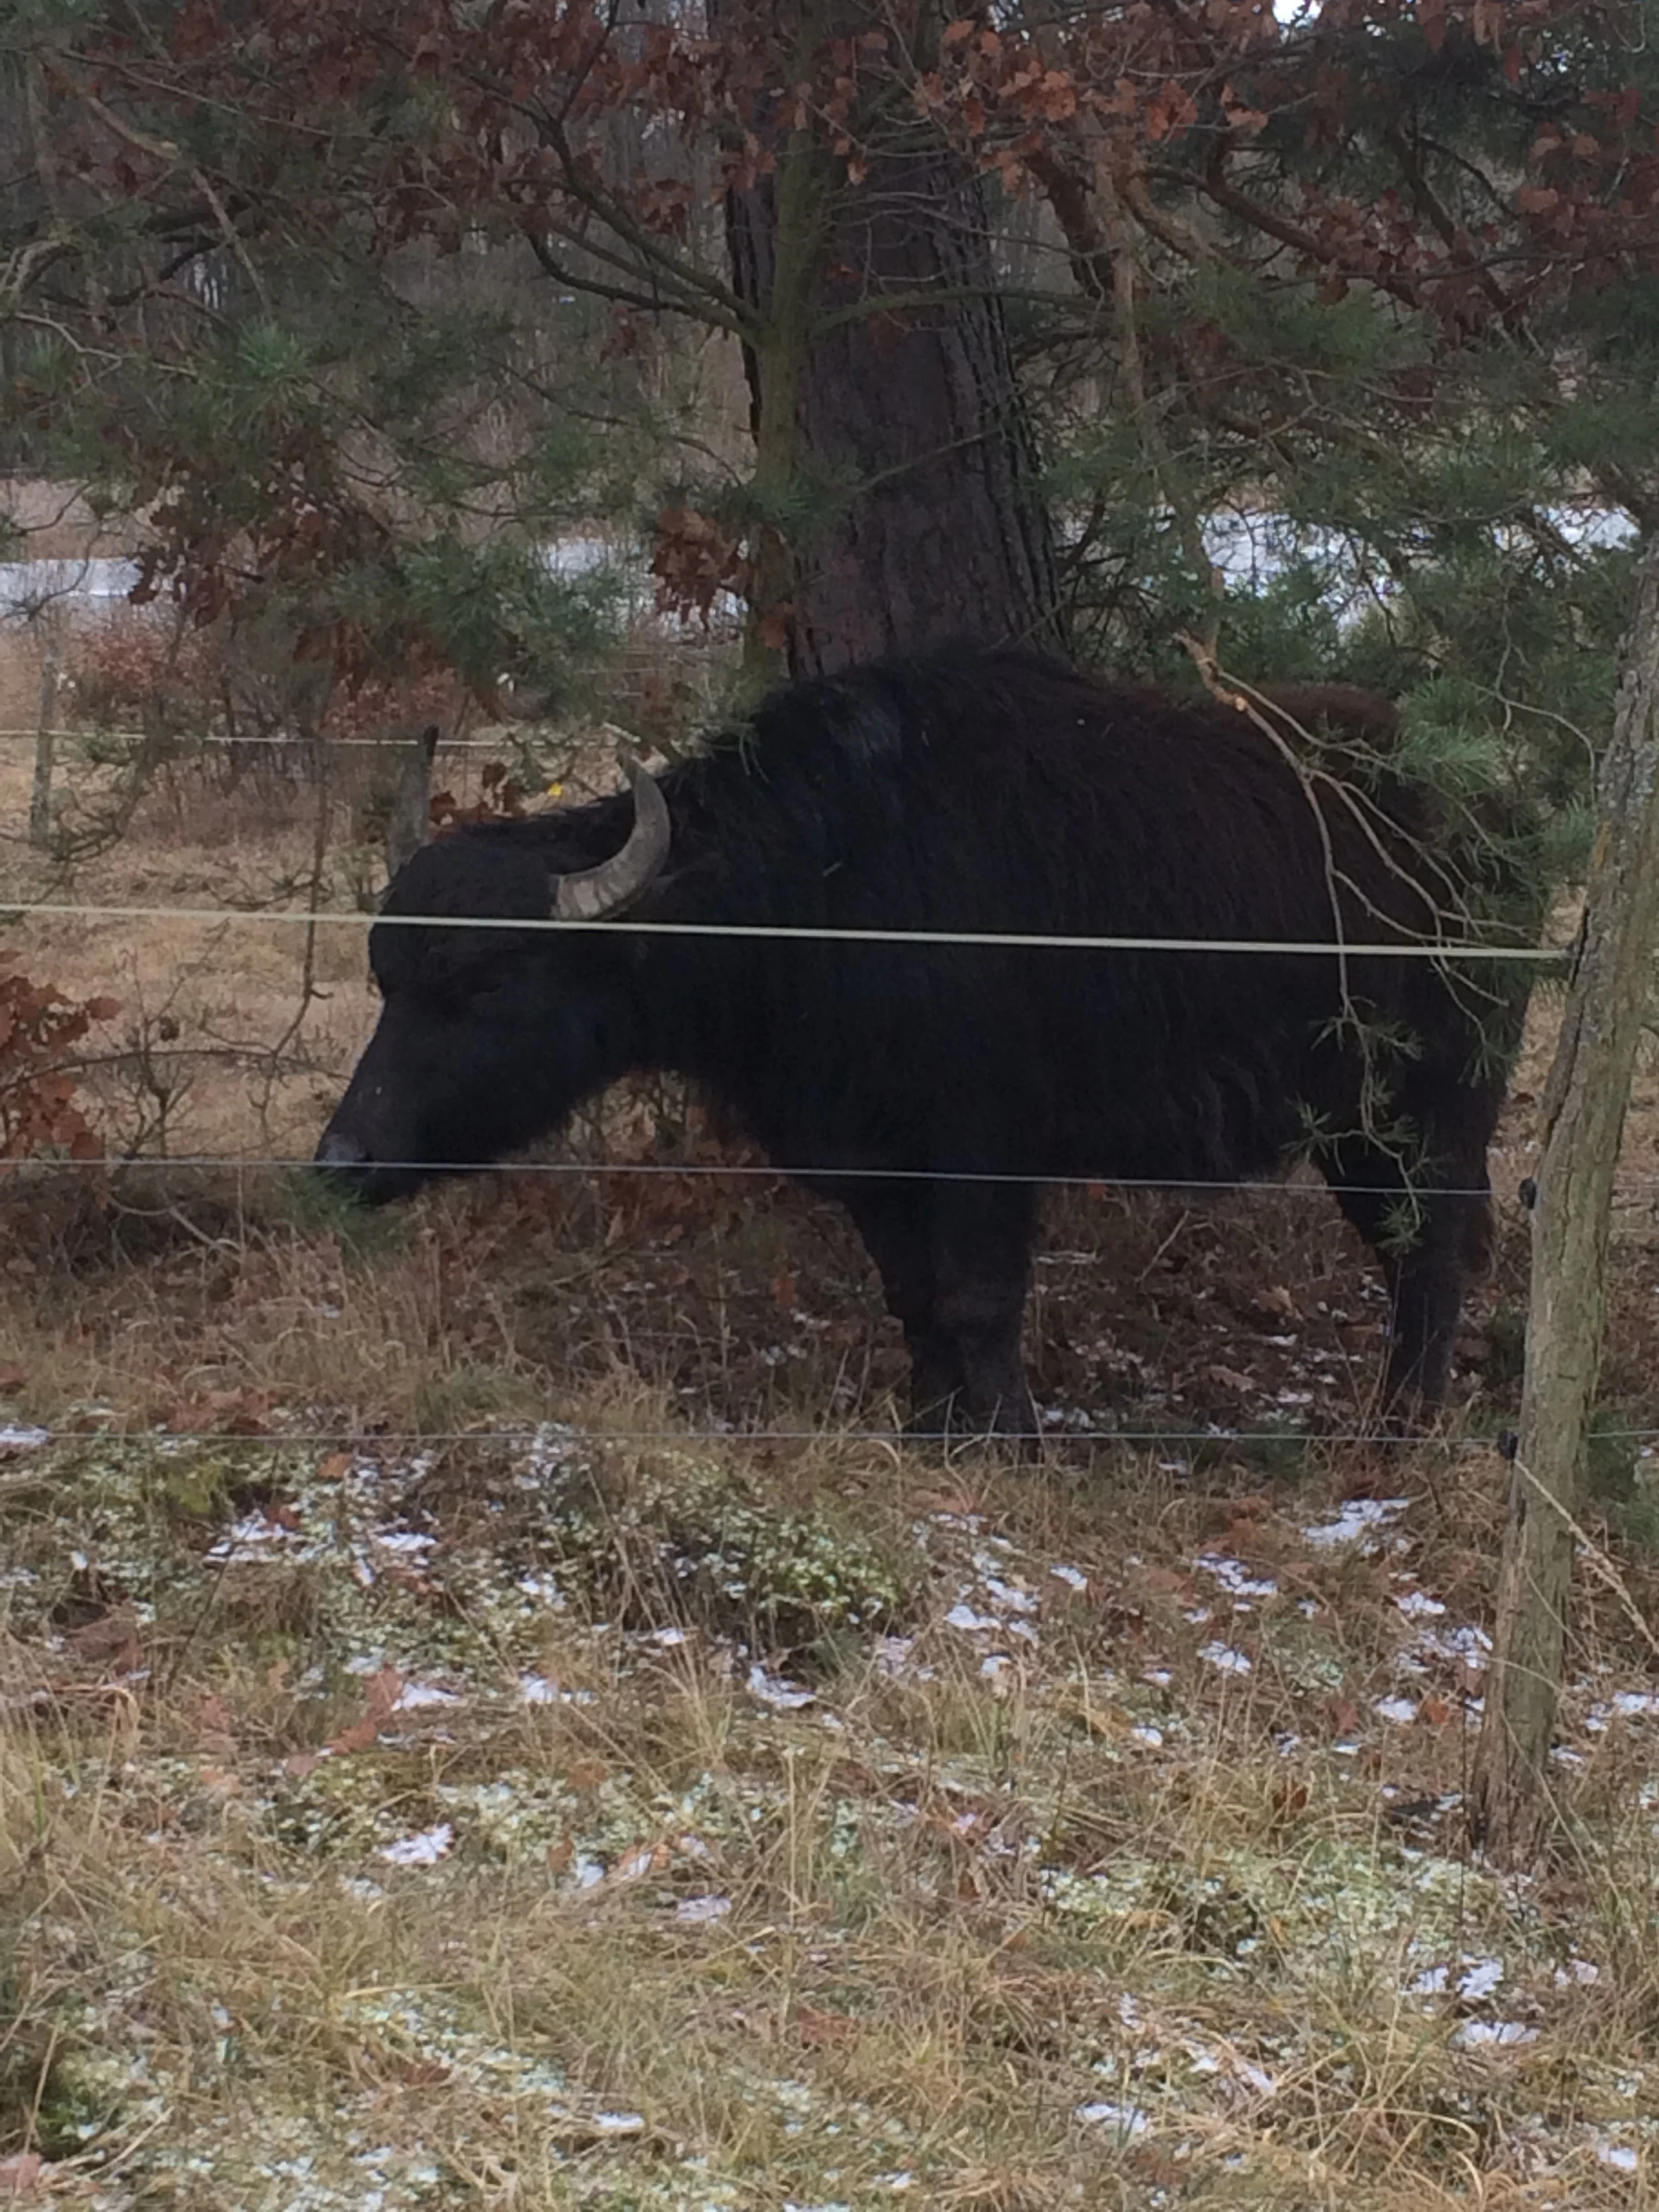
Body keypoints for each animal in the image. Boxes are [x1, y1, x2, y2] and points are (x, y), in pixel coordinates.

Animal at [316, 645, 1529, 1438]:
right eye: (386, 978)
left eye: (482, 982)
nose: (340, 1162)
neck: (818, 887)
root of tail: (1497, 821)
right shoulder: (867, 1159)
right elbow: (913, 1297)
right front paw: (931, 1421)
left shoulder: (983, 1152)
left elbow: (977, 1297)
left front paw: (1007, 1438)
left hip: (1426, 1109)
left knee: (1436, 1251)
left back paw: (1400, 1426)